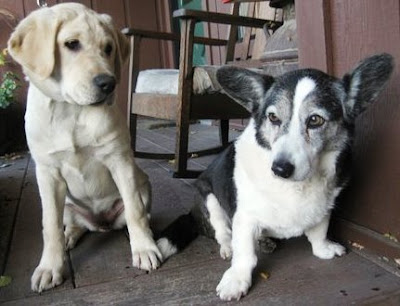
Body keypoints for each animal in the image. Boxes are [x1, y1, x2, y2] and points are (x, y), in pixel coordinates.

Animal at [7, 3, 162, 292]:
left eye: (109, 48)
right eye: (71, 44)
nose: (109, 83)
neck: (72, 110)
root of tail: (100, 224)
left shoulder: (120, 160)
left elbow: (134, 211)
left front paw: (144, 249)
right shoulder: (47, 173)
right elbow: (49, 225)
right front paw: (49, 267)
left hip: (143, 185)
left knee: (134, 213)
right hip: (68, 205)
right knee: (74, 225)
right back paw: (70, 236)